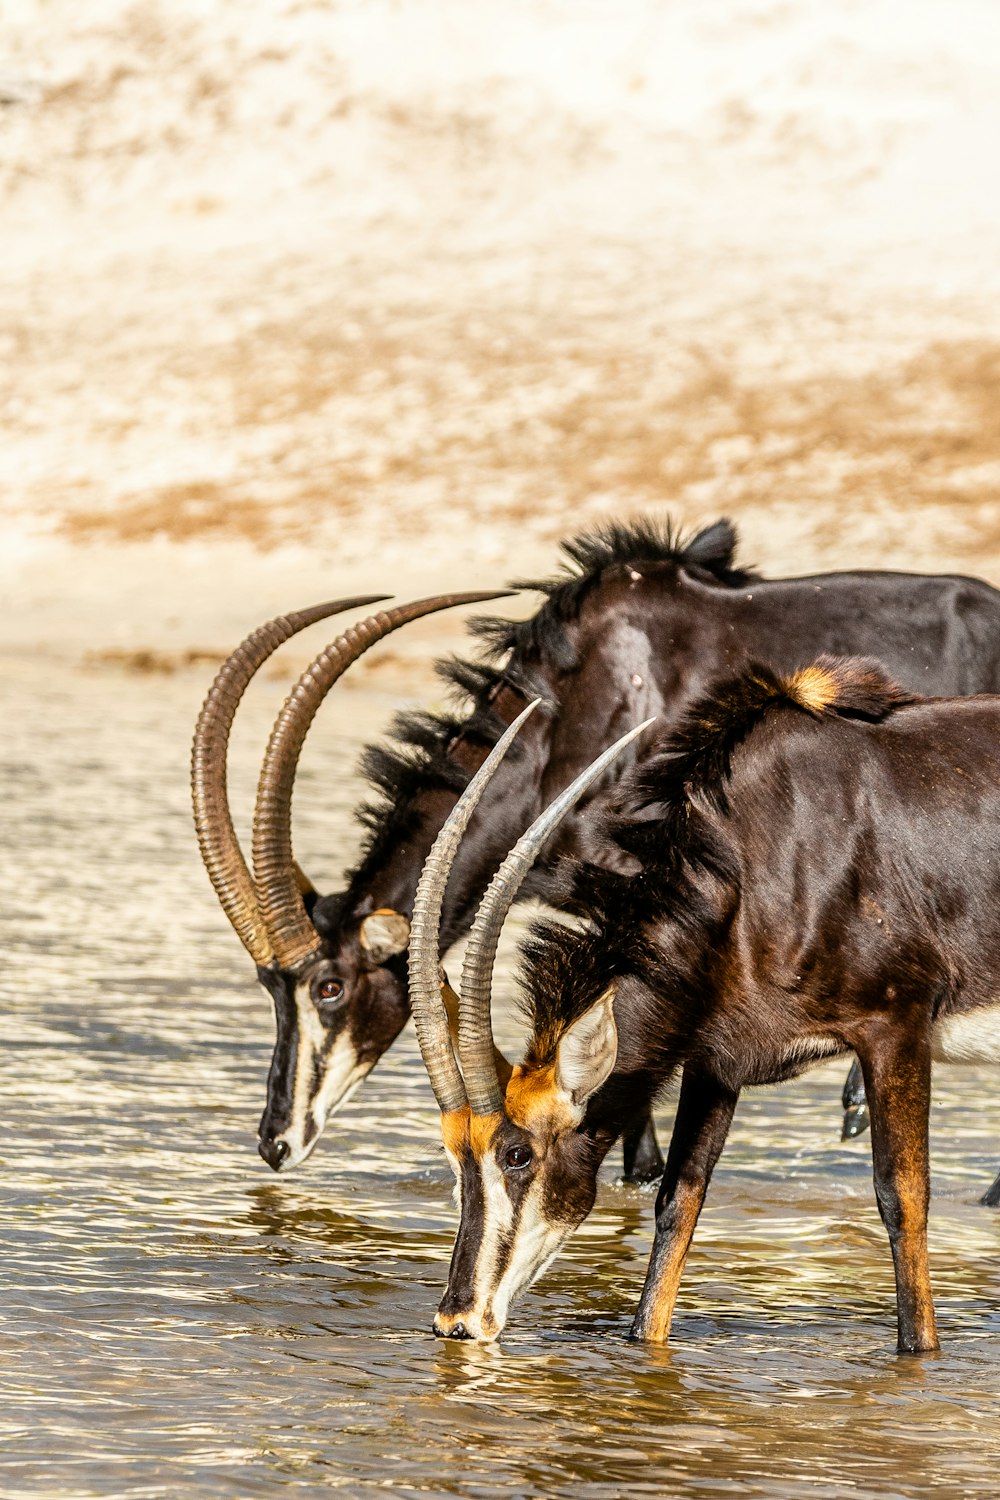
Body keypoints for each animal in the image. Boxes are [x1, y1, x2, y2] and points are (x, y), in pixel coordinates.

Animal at [407, 663, 1000, 1356]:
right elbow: (677, 1200)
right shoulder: (717, 1061)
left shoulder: (894, 1029)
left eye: (517, 1154)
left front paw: (919, 1354)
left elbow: (900, 1198)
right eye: (454, 1155)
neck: (755, 869)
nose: (457, 1319)